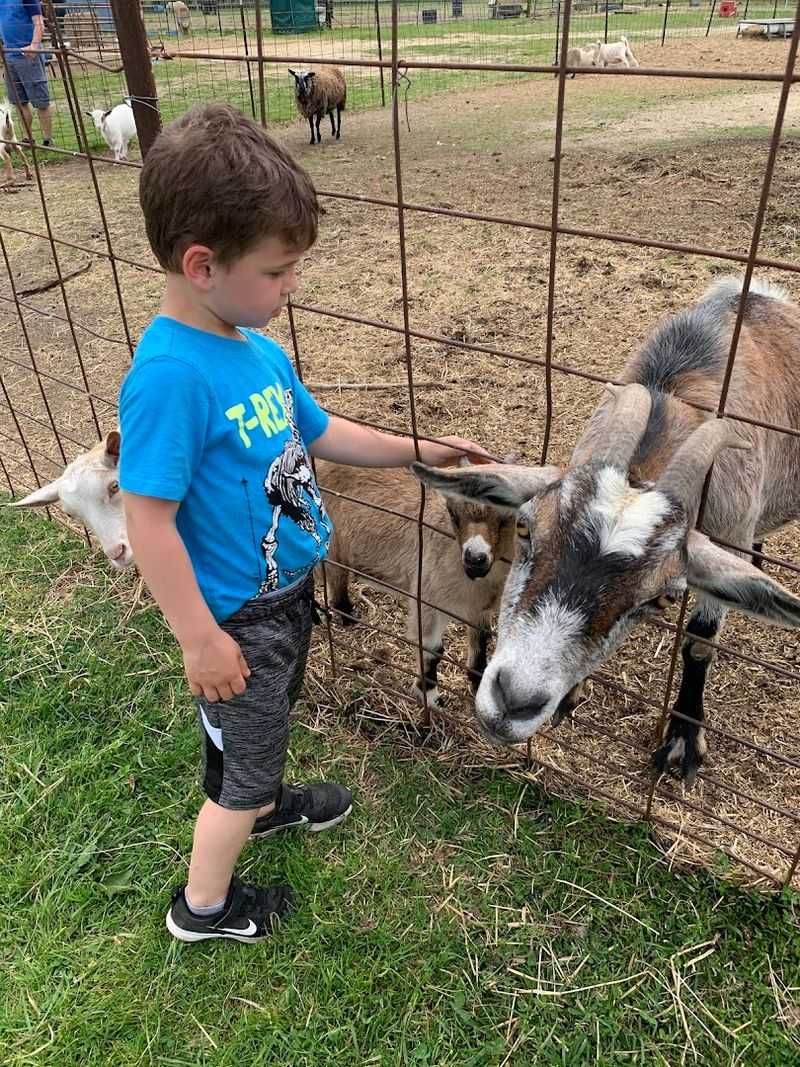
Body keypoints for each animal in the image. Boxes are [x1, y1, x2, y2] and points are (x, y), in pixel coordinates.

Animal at [316, 459, 514, 706]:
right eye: (452, 513)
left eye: (506, 516)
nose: (474, 558)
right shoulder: (429, 596)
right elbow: (433, 650)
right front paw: (429, 695)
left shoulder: (479, 605)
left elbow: (481, 639)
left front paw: (478, 680)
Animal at [412, 277, 800, 785]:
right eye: (525, 529)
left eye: (658, 598)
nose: (514, 701)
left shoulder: (727, 533)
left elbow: (699, 645)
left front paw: (683, 740)